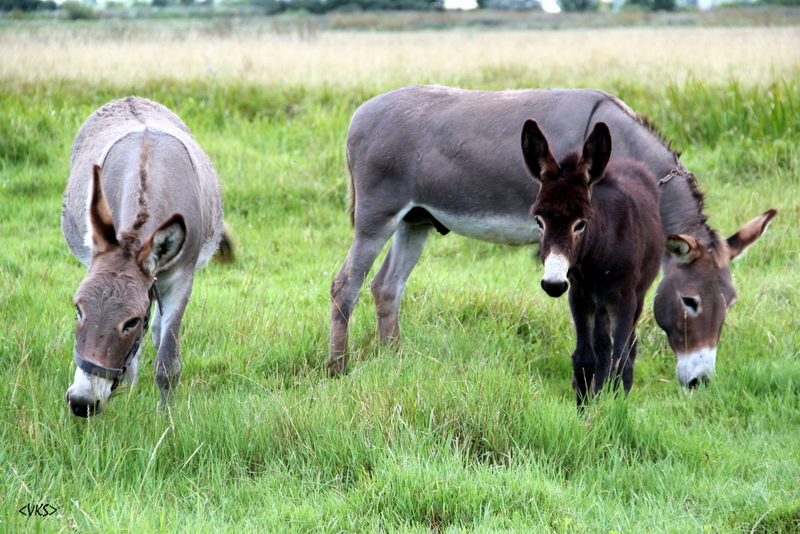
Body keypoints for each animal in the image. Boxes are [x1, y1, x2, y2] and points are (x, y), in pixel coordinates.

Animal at [520, 119, 660, 408]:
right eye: (539, 222)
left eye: (580, 224)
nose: (553, 284)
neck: (597, 258)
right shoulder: (579, 294)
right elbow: (585, 358)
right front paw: (584, 410)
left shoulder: (624, 297)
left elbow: (621, 359)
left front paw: (616, 412)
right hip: (598, 304)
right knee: (602, 346)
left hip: (635, 297)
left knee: (628, 347)